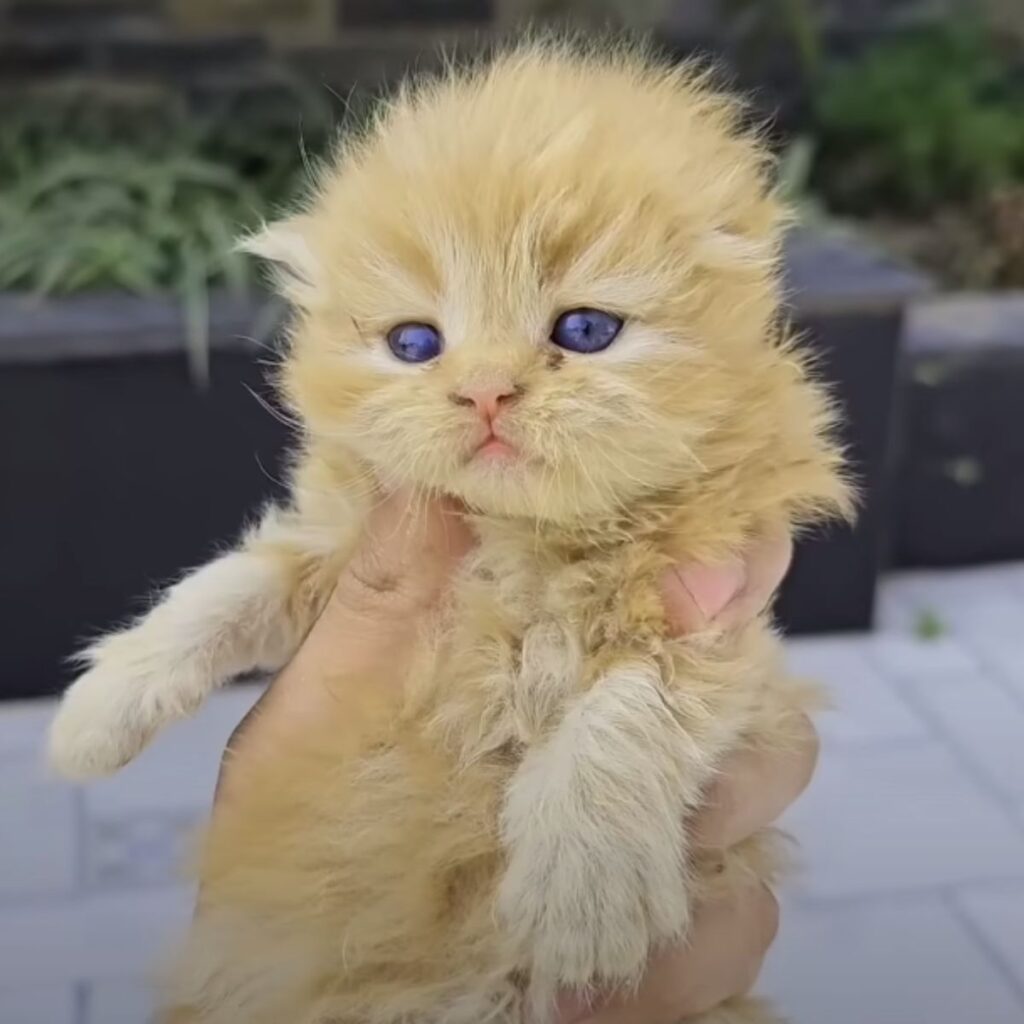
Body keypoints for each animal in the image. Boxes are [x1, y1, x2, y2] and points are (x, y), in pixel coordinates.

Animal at [46, 36, 847, 1024]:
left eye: (586, 329)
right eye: (415, 345)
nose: (487, 391)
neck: (517, 541)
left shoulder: (721, 619)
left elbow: (625, 704)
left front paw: (583, 893)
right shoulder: (333, 545)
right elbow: (227, 587)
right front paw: (97, 709)